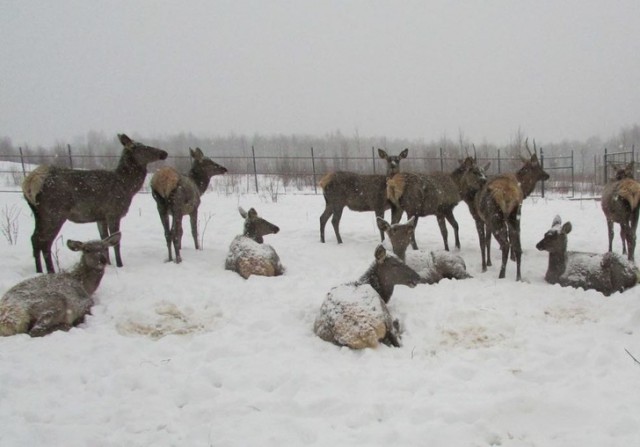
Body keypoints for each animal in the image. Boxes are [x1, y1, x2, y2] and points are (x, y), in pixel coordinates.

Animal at [21, 133, 168, 272]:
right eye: (142, 147)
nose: (164, 153)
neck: (128, 187)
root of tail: (29, 182)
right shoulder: (113, 212)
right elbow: (116, 242)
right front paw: (120, 264)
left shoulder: (100, 216)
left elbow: (105, 239)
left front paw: (108, 263)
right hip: (54, 213)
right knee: (45, 241)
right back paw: (51, 271)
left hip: (38, 214)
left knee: (34, 238)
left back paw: (39, 270)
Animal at [476, 140, 552, 280]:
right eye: (538, 166)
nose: (547, 175)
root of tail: (509, 194)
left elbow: (487, 241)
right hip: (513, 214)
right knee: (518, 245)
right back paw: (518, 276)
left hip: (495, 217)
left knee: (505, 243)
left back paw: (502, 275)